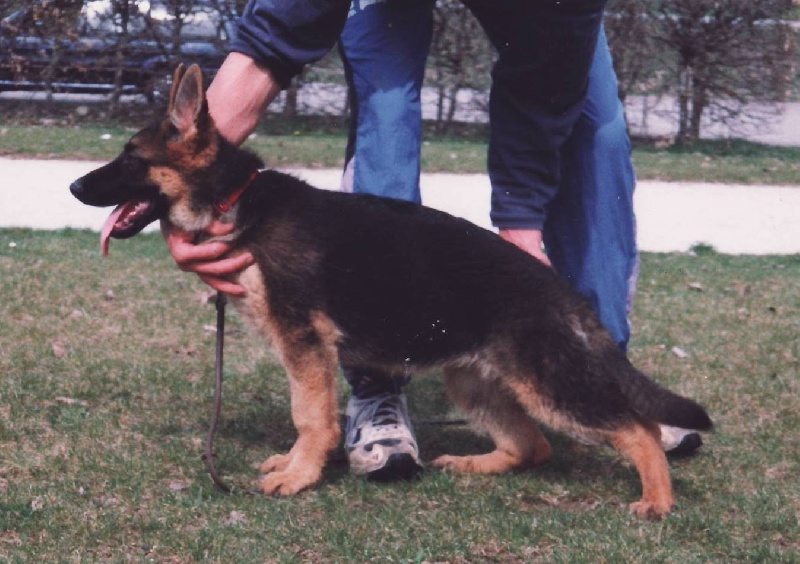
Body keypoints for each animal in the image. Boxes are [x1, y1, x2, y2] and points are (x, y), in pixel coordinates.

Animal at [70, 64, 712, 516]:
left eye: (130, 158)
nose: (74, 187)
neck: (234, 198)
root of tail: (564, 293)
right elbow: (308, 414)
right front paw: (296, 465)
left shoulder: (304, 343)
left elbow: (310, 415)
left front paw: (300, 474)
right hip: (474, 382)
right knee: (533, 446)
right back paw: (475, 465)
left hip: (550, 385)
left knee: (635, 428)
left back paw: (657, 499)